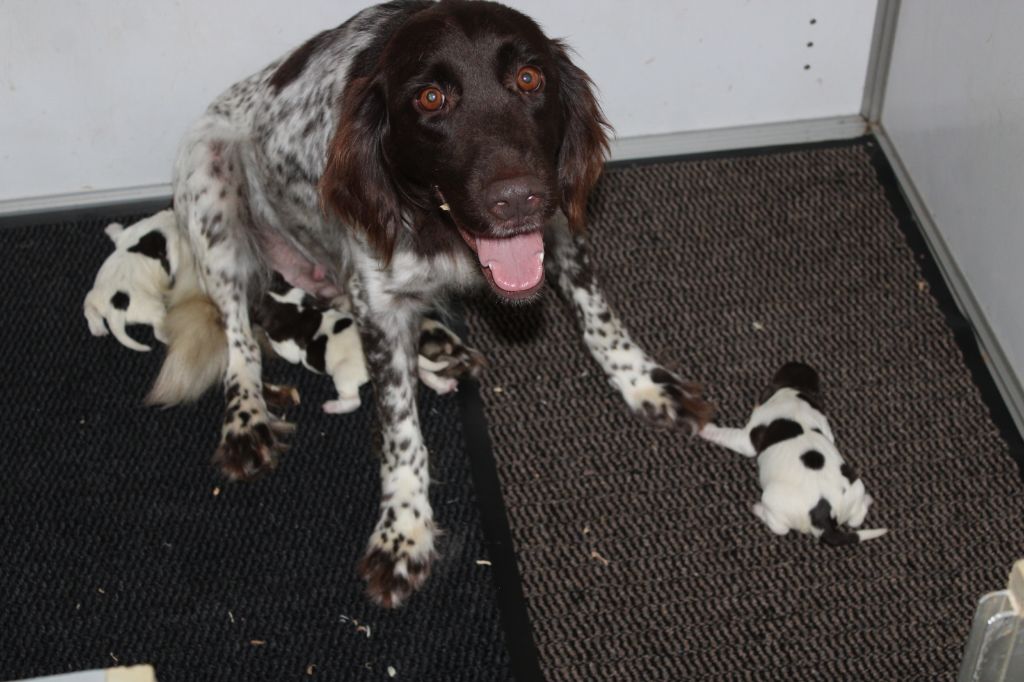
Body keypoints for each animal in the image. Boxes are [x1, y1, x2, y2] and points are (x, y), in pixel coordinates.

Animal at [144, 0, 712, 606]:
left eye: (529, 78)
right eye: (431, 98)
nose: (516, 200)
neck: (442, 227)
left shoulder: (558, 226)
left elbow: (598, 317)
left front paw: (646, 382)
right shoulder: (377, 304)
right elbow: (401, 432)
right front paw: (404, 529)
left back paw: (440, 344)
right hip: (213, 196)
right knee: (240, 340)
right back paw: (246, 420)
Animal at [700, 360, 884, 548]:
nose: (798, 362)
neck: (793, 392)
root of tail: (825, 519)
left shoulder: (747, 439)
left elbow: (727, 435)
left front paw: (705, 428)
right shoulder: (824, 425)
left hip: (772, 498)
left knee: (780, 529)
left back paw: (759, 510)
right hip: (856, 487)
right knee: (856, 520)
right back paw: (867, 500)